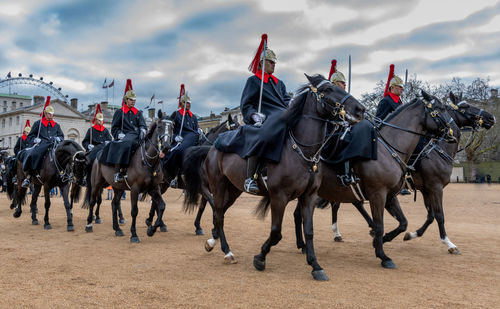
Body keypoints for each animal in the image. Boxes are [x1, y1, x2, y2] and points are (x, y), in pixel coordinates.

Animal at [83, 112, 173, 242]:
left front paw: (151, 229)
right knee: (92, 201)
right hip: (96, 184)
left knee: (114, 204)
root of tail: (98, 154)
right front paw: (134, 234)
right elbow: (134, 211)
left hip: (118, 188)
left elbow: (161, 206)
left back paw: (117, 229)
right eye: (160, 127)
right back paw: (89, 224)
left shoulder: (154, 188)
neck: (149, 163)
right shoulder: (135, 189)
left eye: (172, 128)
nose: (166, 147)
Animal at [183, 74, 364, 280]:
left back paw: (213, 242)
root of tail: (213, 147)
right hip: (219, 187)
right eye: (327, 90)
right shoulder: (279, 197)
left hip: (233, 190)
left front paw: (315, 265)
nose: (360, 109)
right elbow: (276, 232)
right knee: (219, 214)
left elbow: (309, 231)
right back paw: (227, 251)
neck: (302, 152)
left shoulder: (308, 197)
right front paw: (260, 257)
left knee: (218, 214)